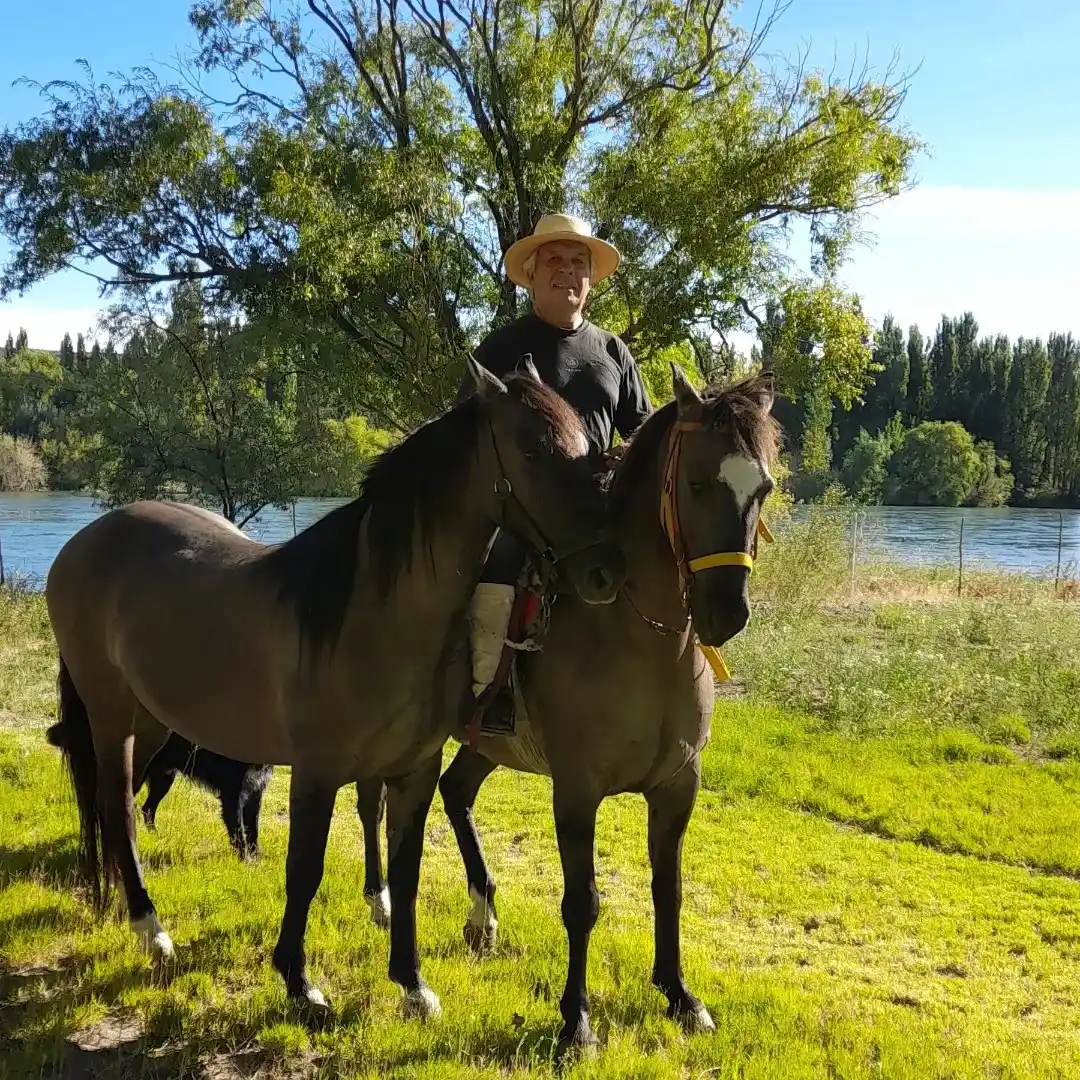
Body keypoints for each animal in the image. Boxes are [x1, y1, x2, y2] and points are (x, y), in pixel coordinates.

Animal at [44, 355, 627, 1021]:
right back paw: (150, 928)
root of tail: (84, 543)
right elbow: (305, 871)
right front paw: (300, 984)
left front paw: (412, 984)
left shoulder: (413, 770)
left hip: (154, 721)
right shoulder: (317, 772)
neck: (373, 616)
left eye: (588, 443)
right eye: (532, 449)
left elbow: (405, 873)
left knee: (120, 806)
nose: (606, 571)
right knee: (117, 806)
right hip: (112, 714)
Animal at [350, 366, 780, 1054]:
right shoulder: (576, 790)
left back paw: (482, 913)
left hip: (483, 743)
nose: (726, 612)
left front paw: (679, 995)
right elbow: (582, 903)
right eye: (695, 483)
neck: (641, 636)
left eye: (762, 488)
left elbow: (669, 890)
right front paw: (576, 1019)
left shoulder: (677, 785)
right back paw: (381, 900)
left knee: (455, 792)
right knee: (375, 803)